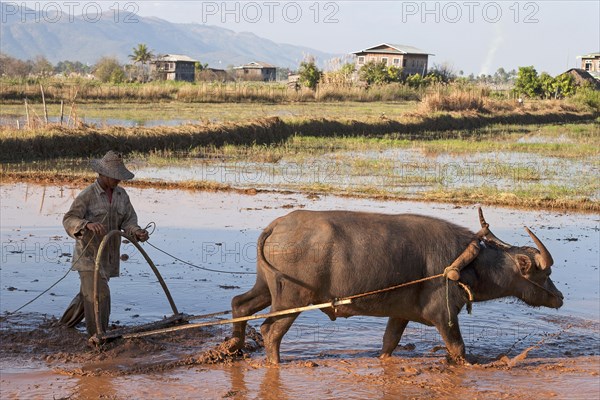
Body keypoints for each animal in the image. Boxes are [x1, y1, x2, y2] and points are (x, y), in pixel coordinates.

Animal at [230, 208, 564, 364]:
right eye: (543, 273)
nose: (559, 297)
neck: (467, 264)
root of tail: (277, 225)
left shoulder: (400, 314)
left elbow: (388, 343)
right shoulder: (444, 315)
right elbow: (458, 348)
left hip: (266, 288)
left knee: (240, 304)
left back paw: (234, 347)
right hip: (292, 299)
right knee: (270, 330)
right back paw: (274, 363)